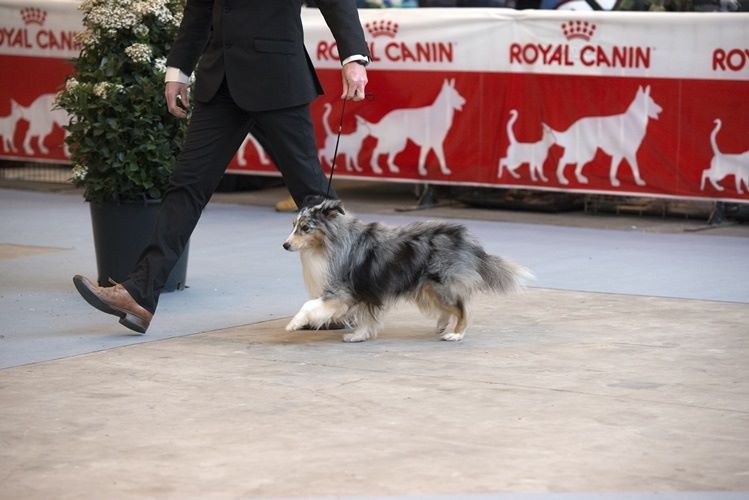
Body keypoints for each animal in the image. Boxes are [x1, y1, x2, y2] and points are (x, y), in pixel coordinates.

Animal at [282, 199, 532, 344]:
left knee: (462, 308)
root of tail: (467, 241)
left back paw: (456, 333)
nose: (285, 245)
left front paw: (293, 324)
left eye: (305, 227)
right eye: (293, 226)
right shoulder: (364, 291)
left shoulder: (341, 291)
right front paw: (359, 335)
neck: (329, 242)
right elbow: (366, 317)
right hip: (428, 287)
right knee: (450, 307)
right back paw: (443, 324)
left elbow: (309, 305)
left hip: (441, 284)